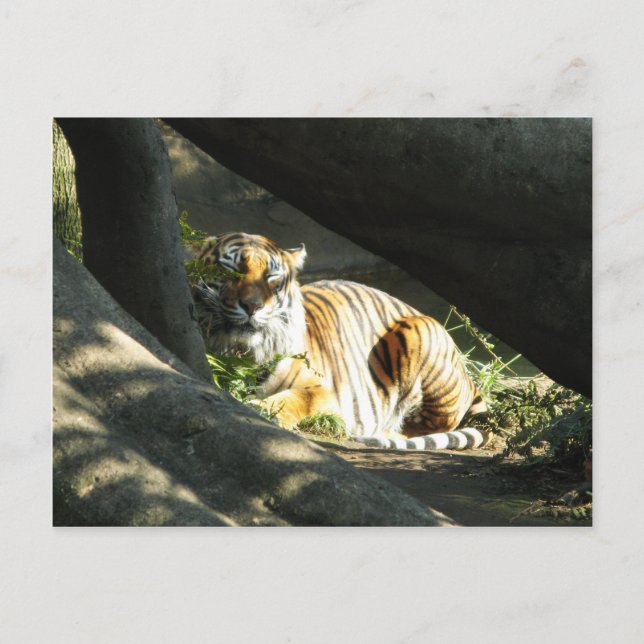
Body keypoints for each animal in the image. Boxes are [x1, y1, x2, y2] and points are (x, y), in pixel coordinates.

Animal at [192, 232, 488, 450]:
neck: (242, 351)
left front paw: (261, 408)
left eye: (271, 277)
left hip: (422, 333)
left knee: (427, 426)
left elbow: (294, 398)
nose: (252, 306)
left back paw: (384, 434)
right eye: (230, 270)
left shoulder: (324, 390)